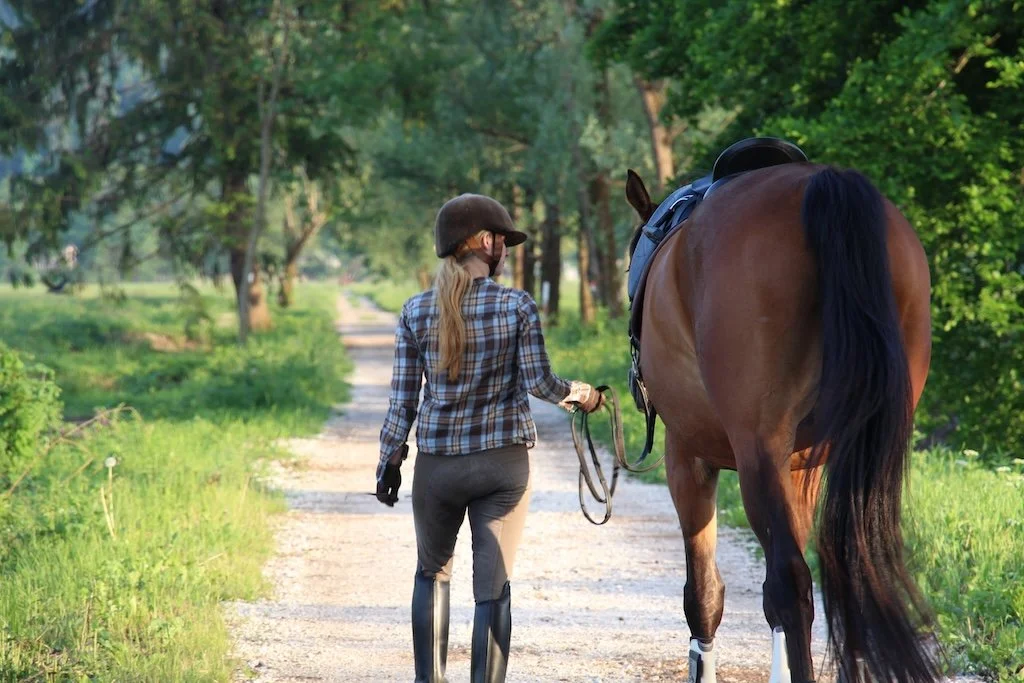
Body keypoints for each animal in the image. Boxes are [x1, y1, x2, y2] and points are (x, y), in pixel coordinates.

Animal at [623, 161, 938, 683]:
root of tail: (822, 183)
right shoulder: (802, 469)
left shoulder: (687, 457)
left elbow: (704, 595)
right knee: (847, 574)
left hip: (755, 451)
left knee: (790, 584)